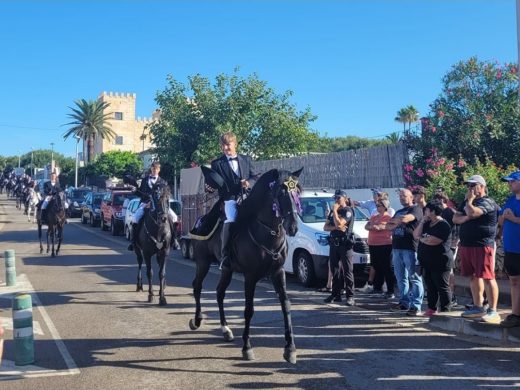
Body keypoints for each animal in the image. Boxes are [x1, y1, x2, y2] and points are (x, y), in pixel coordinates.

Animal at [189, 167, 302, 362]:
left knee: (219, 292)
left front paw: (290, 348)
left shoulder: (278, 272)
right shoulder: (250, 276)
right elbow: (249, 309)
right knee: (197, 286)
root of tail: (201, 220)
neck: (267, 233)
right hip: (203, 262)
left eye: (297, 193)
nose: (293, 227)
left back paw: (225, 329)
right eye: (281, 192)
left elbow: (286, 305)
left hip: (227, 269)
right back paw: (197, 321)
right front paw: (247, 347)